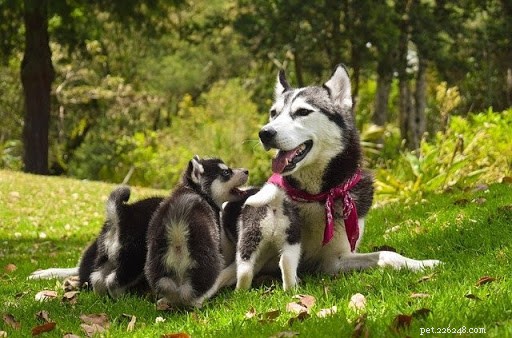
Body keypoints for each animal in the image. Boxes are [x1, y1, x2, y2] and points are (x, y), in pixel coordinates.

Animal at [144, 154, 248, 308]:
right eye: (226, 172)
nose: (247, 171)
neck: (196, 190)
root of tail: (177, 231)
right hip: (209, 261)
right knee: (193, 291)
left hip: (156, 265)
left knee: (167, 286)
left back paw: (166, 301)